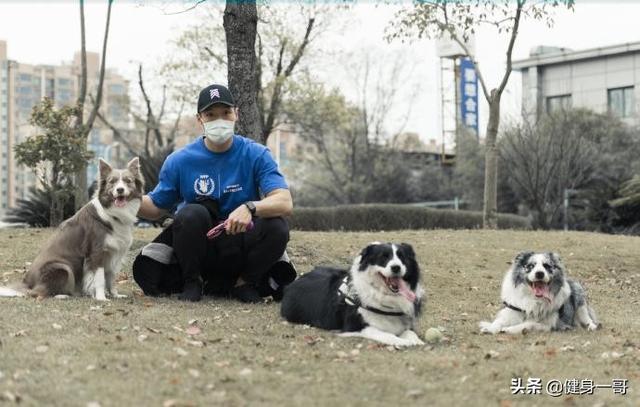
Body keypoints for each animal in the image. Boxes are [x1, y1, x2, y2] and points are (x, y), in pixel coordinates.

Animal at [0, 158, 142, 302]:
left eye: (128, 181)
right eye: (112, 181)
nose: (120, 190)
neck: (113, 212)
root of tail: (26, 282)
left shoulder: (114, 253)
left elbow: (111, 278)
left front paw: (115, 295)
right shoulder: (96, 252)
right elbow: (100, 279)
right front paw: (101, 298)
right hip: (63, 268)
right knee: (38, 292)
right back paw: (62, 295)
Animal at [282, 242, 424, 348]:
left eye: (402, 257)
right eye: (383, 257)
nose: (396, 267)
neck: (382, 295)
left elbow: (410, 332)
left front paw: (417, 341)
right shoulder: (355, 326)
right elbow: (385, 334)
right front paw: (403, 342)